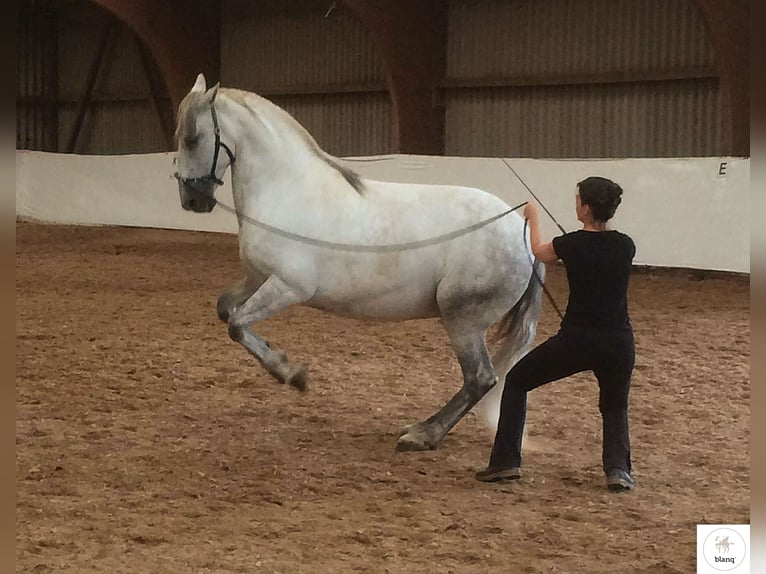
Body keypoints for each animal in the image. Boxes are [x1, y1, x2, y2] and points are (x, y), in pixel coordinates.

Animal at [174, 74, 544, 452]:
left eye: (193, 138)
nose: (192, 200)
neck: (286, 190)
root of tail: (522, 232)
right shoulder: (256, 278)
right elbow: (226, 310)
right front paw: (288, 368)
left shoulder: (288, 287)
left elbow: (236, 324)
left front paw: (292, 374)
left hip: (463, 319)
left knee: (479, 379)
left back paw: (422, 435)